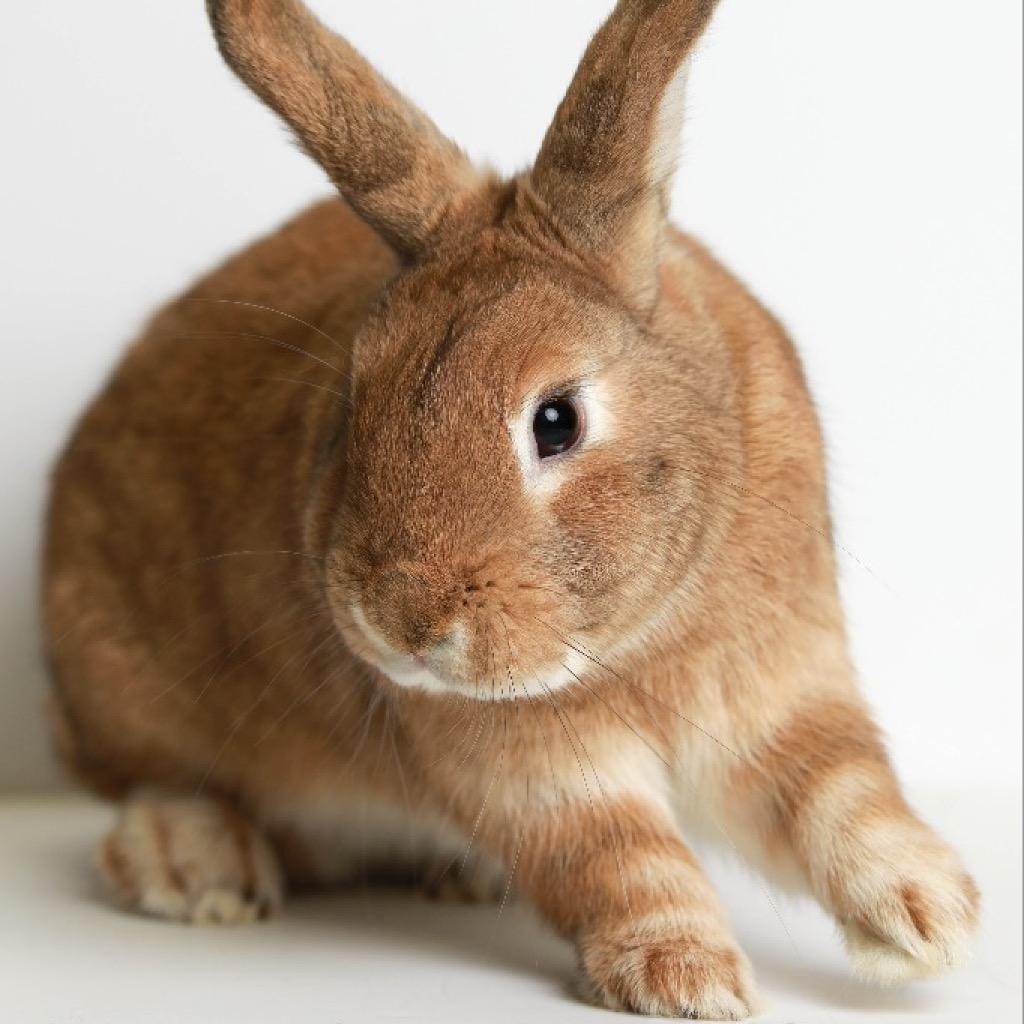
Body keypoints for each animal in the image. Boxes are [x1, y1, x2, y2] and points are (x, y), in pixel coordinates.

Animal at [42, 0, 979, 1018]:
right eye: (351, 404)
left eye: (556, 421)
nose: (403, 620)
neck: (639, 637)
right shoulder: (532, 771)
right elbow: (619, 859)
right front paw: (685, 978)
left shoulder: (784, 691)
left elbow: (841, 792)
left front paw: (930, 921)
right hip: (119, 684)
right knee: (152, 788)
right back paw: (196, 869)